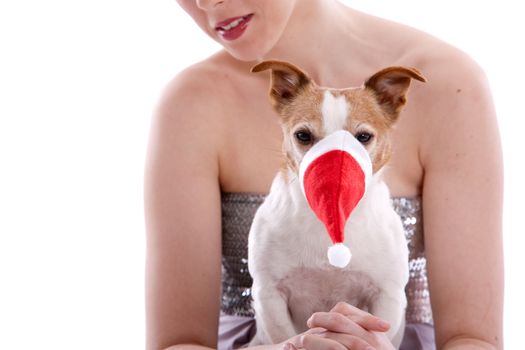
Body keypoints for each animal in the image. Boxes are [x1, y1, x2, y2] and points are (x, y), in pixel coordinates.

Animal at [247, 59, 426, 348]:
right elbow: (285, 335)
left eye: (363, 137)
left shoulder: (387, 297)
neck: (331, 216)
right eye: (303, 135)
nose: (335, 167)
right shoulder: (269, 295)